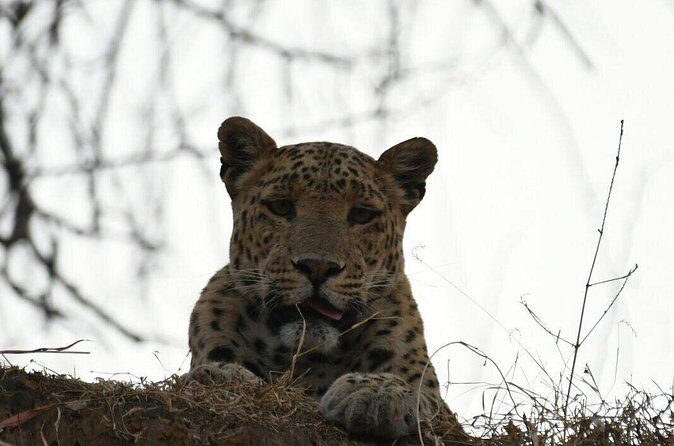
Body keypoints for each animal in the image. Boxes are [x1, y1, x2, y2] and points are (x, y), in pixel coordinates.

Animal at [186, 116, 464, 440]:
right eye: (281, 206)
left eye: (361, 214)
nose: (317, 267)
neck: (308, 361)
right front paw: (223, 374)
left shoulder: (446, 415)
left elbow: (422, 396)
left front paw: (377, 392)